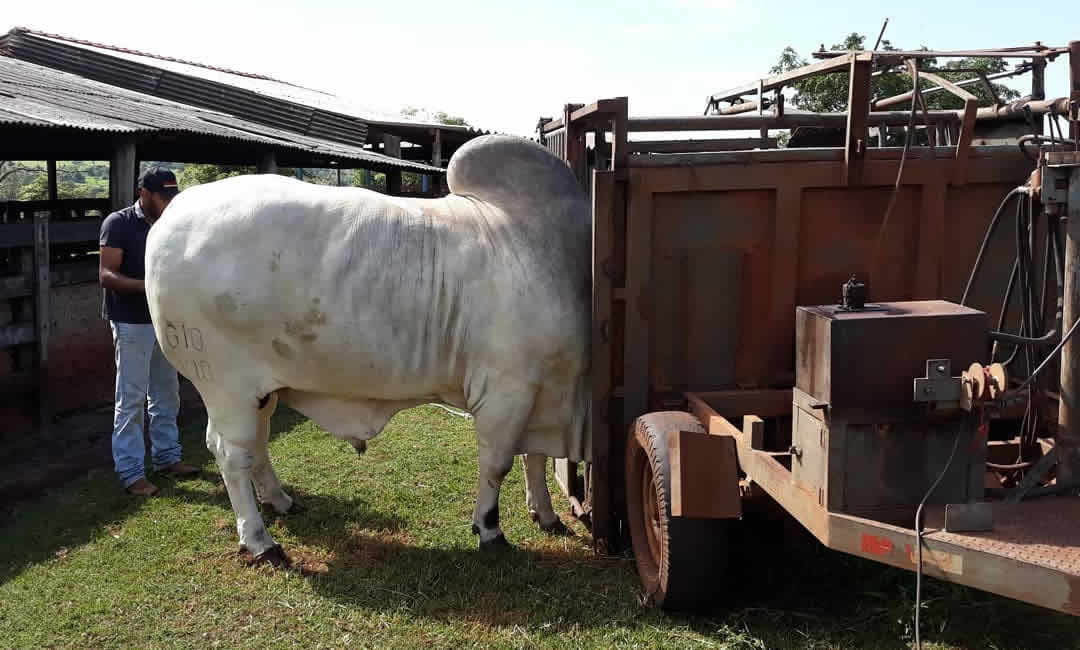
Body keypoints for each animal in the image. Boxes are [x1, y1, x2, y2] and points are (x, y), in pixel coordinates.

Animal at [143, 133, 591, 557]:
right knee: (232, 453)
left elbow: (534, 458)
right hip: (225, 383)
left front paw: (545, 514)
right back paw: (259, 541)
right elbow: (498, 464)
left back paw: (280, 501)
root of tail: (172, 214)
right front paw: (490, 529)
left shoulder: (543, 396)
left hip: (261, 389)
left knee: (255, 441)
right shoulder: (507, 390)